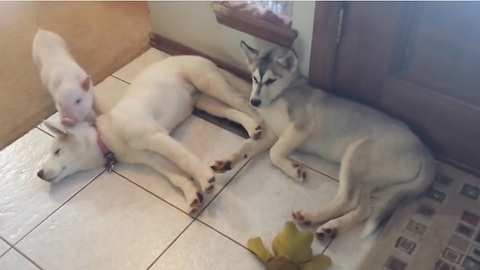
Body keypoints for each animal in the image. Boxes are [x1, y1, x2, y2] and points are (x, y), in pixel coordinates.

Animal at [37, 56, 262, 213]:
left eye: (57, 151)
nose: (38, 173)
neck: (107, 135)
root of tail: (198, 56)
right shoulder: (150, 157)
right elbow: (175, 176)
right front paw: (191, 194)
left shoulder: (156, 137)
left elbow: (184, 159)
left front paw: (205, 178)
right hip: (205, 102)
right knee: (232, 112)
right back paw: (251, 127)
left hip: (208, 83)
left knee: (242, 102)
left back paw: (259, 126)